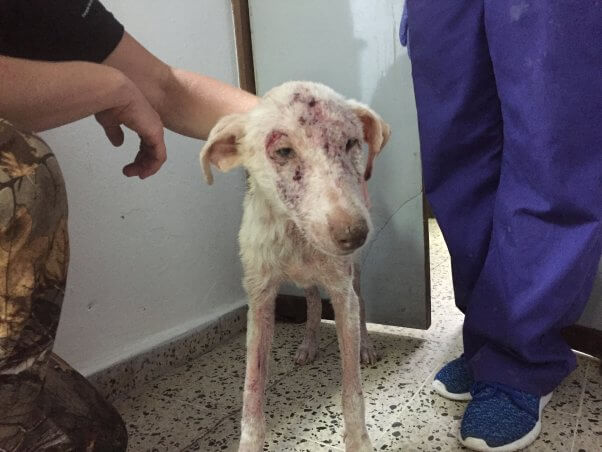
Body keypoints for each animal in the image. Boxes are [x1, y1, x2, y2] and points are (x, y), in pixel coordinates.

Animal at [200, 82, 390, 452]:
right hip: (306, 282)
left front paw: (359, 440)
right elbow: (252, 392)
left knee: (360, 305)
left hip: (354, 274)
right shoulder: (259, 299)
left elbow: (353, 391)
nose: (355, 234)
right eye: (284, 151)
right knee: (313, 303)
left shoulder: (343, 294)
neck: (295, 234)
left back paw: (365, 346)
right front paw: (250, 442)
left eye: (351, 143)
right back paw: (308, 344)